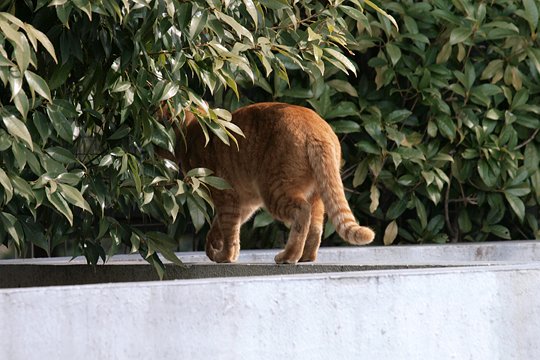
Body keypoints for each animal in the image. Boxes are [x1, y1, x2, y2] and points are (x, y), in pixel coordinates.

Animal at [167, 102, 374, 264]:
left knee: (302, 213)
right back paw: (306, 257)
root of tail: (316, 129)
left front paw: (225, 256)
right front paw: (214, 245)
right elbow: (223, 226)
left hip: (274, 191)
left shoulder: (226, 196)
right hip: (315, 195)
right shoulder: (246, 202)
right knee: (315, 226)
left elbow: (228, 227)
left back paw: (288, 257)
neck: (192, 133)